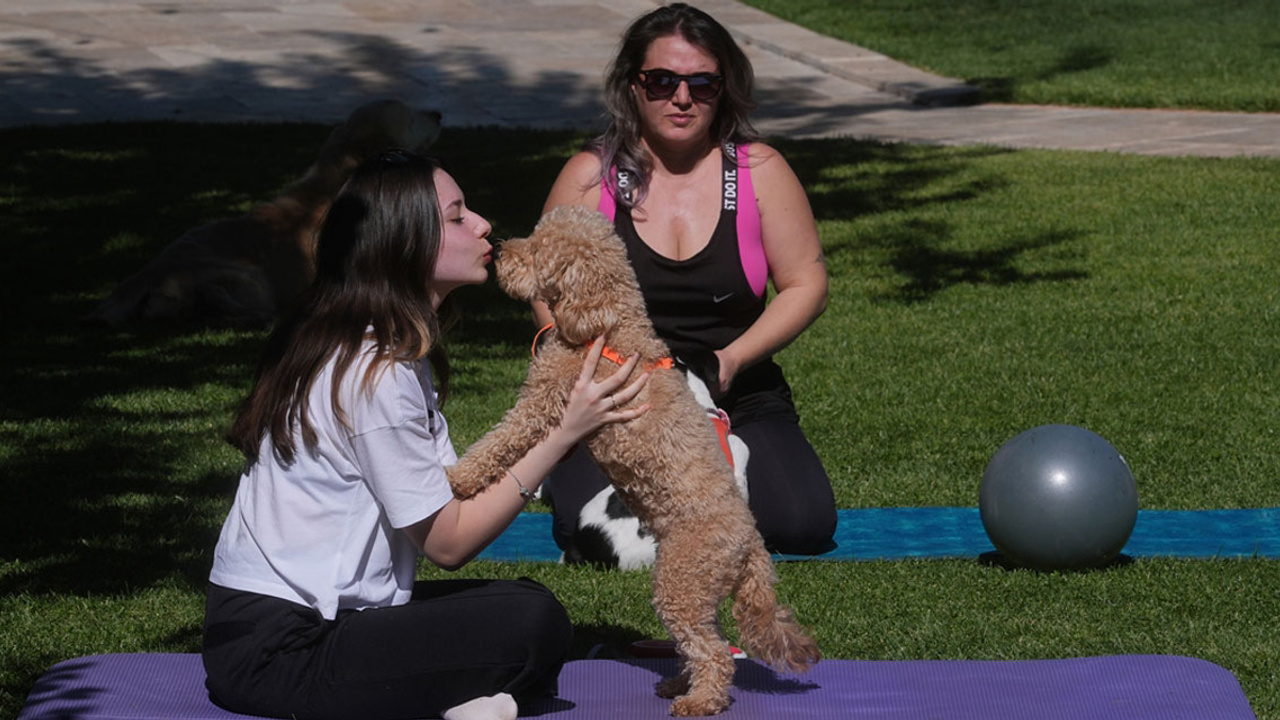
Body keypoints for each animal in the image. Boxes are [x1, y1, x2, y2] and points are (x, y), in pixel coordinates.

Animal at [450, 204, 819, 712]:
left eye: (540, 250)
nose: (501, 249)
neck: (607, 326)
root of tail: (751, 546)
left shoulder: (543, 399)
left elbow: (502, 438)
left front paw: (460, 477)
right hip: (698, 589)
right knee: (705, 641)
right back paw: (680, 684)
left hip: (680, 582)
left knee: (711, 651)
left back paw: (699, 701)